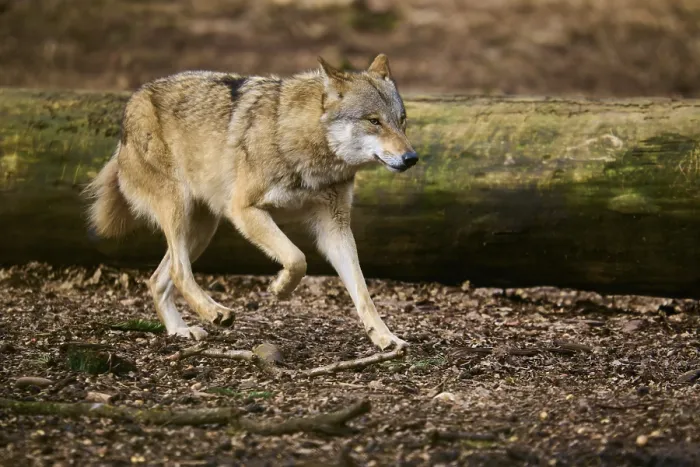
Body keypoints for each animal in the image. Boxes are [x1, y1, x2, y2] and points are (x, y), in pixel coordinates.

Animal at [84, 54, 418, 351]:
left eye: (401, 121)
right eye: (374, 121)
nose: (411, 158)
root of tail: (134, 99)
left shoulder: (335, 229)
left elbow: (363, 293)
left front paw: (385, 338)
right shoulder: (243, 210)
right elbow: (297, 258)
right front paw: (280, 288)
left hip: (202, 230)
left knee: (157, 280)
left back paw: (181, 330)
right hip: (181, 212)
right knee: (179, 272)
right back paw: (215, 313)